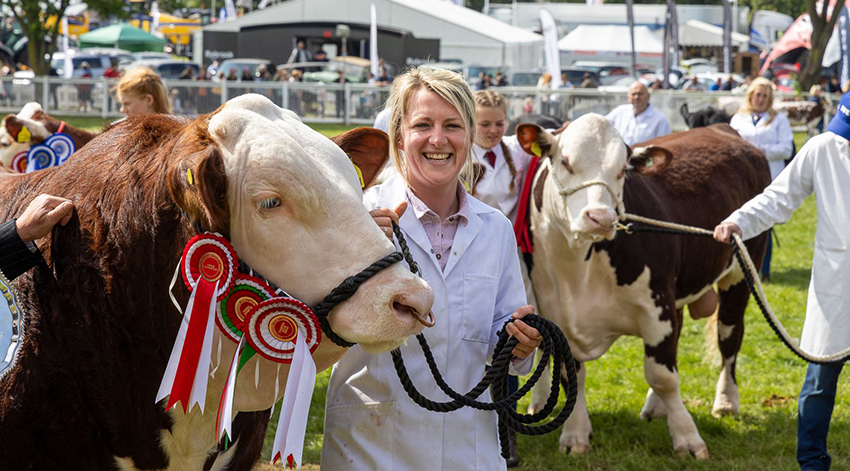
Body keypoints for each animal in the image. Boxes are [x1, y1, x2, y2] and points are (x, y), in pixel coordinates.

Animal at [516, 116, 768, 460]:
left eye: (622, 170)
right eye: (565, 161)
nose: (600, 217)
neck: (577, 273)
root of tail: (722, 128)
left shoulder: (657, 307)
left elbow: (663, 376)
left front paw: (687, 438)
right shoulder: (556, 315)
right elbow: (572, 374)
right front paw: (575, 435)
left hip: (742, 269)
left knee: (729, 337)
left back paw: (726, 400)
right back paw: (656, 407)